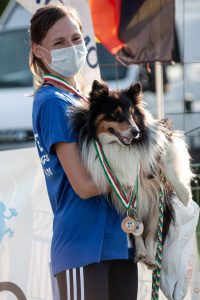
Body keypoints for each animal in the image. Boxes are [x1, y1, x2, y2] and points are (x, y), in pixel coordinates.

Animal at [67, 80, 194, 270]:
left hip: (157, 202)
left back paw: (151, 258)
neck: (120, 146)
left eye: (133, 114)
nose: (136, 132)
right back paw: (142, 254)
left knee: (152, 232)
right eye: (116, 114)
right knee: (141, 231)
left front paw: (185, 194)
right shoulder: (124, 193)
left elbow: (165, 160)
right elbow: (135, 230)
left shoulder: (163, 137)